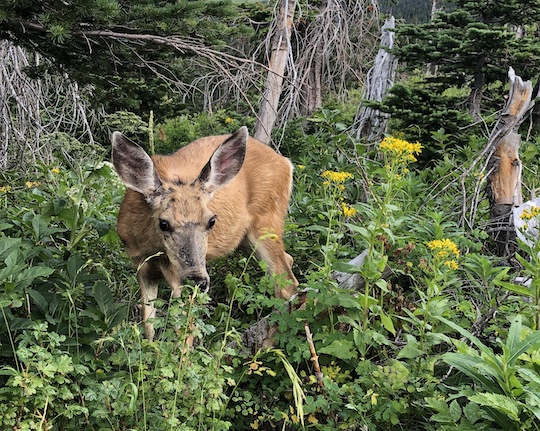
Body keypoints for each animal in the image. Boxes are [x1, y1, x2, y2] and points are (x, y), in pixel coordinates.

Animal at [111, 126, 300, 342]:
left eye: (211, 221)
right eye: (164, 223)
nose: (198, 281)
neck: (150, 246)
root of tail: (286, 162)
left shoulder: (175, 273)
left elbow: (185, 326)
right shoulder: (142, 266)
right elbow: (148, 324)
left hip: (267, 221)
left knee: (286, 282)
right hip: (247, 240)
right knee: (286, 263)